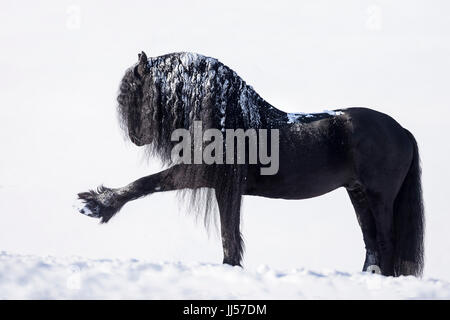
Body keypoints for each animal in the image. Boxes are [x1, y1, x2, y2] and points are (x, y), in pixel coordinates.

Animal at [78, 51, 426, 276]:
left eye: (133, 92)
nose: (136, 137)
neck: (229, 119)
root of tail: (402, 131)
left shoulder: (207, 178)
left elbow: (149, 184)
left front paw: (96, 205)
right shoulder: (218, 184)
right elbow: (227, 229)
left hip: (379, 197)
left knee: (386, 241)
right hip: (358, 194)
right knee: (372, 243)